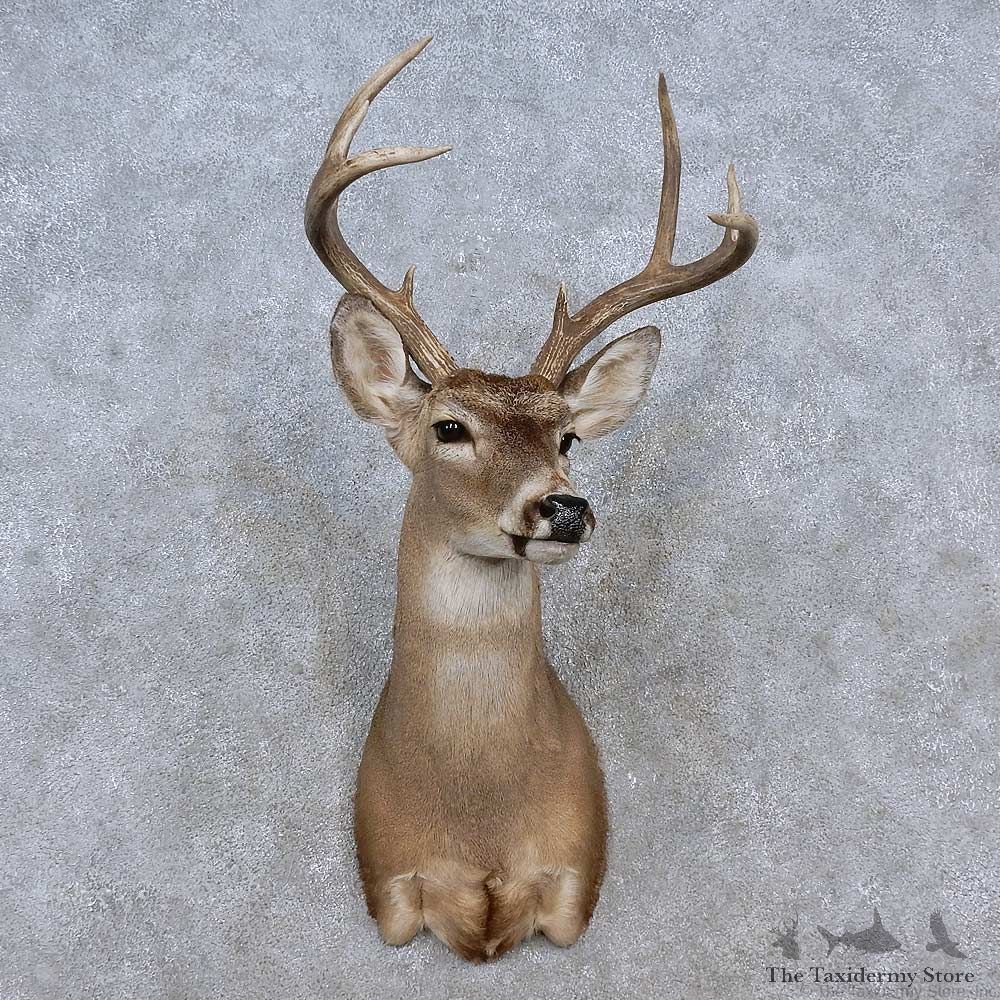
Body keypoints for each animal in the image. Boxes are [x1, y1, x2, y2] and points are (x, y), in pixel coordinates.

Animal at [304, 37, 758, 963]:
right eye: (449, 427)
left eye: (569, 438)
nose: (564, 508)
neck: (481, 822)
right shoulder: (388, 887)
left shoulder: (578, 878)